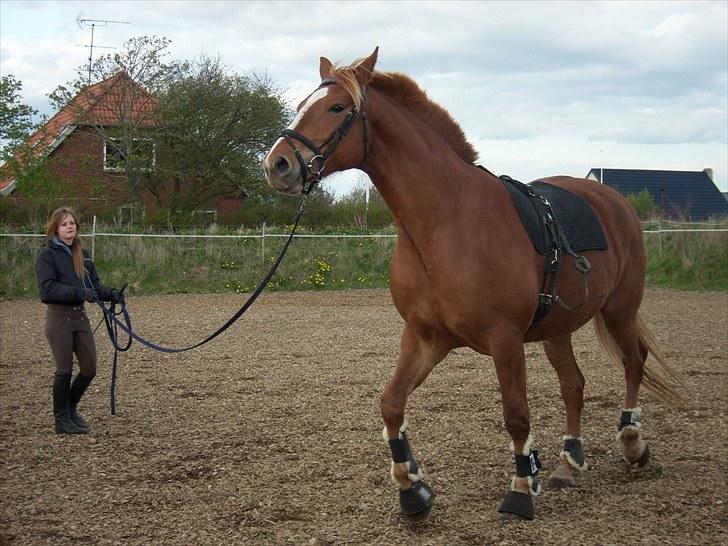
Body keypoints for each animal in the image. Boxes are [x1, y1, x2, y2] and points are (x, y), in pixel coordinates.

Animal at [262, 50, 684, 520]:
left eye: (337, 107)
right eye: (302, 105)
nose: (278, 164)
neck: (447, 224)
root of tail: (612, 200)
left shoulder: (505, 339)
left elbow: (516, 414)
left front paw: (521, 488)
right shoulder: (425, 338)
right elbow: (391, 403)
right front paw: (412, 488)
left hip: (619, 310)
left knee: (633, 361)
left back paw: (632, 443)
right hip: (558, 327)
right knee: (573, 384)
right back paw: (569, 462)